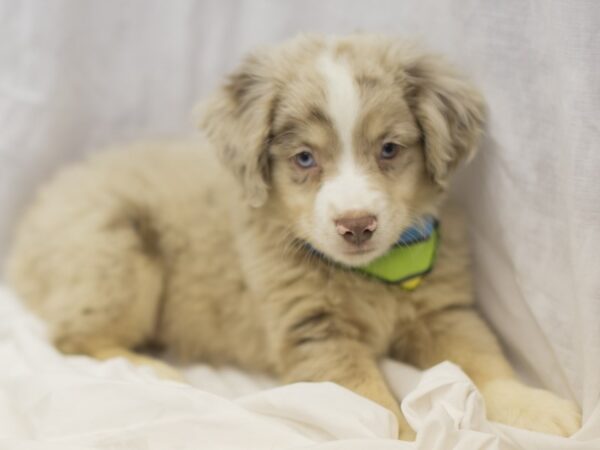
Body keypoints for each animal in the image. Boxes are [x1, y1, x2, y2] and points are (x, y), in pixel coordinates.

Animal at [4, 35, 580, 440]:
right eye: (304, 158)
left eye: (389, 149)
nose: (357, 225)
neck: (373, 273)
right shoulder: (315, 333)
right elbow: (371, 404)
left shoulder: (445, 310)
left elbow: (485, 362)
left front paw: (537, 406)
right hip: (117, 252)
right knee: (73, 339)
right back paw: (154, 373)